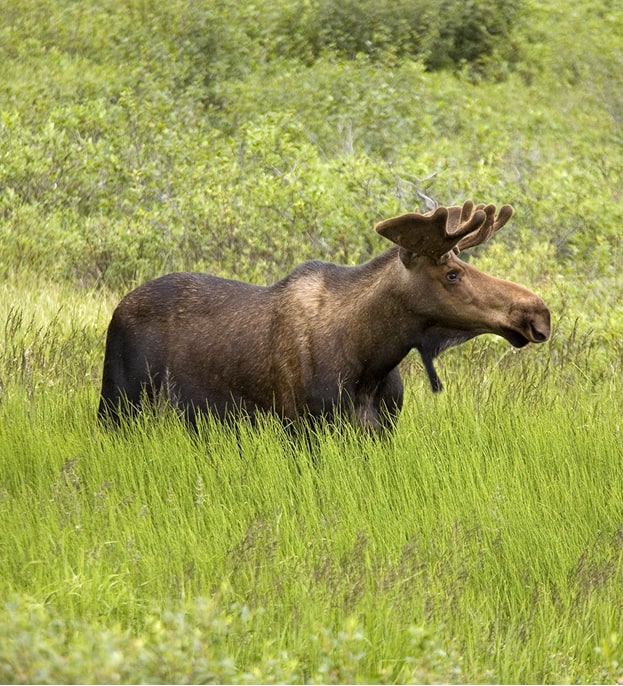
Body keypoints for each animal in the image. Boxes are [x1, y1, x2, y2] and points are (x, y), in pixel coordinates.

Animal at [97, 202, 552, 432]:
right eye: (452, 273)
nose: (539, 313)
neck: (372, 358)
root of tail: (119, 308)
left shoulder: (380, 430)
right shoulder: (301, 427)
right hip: (117, 405)